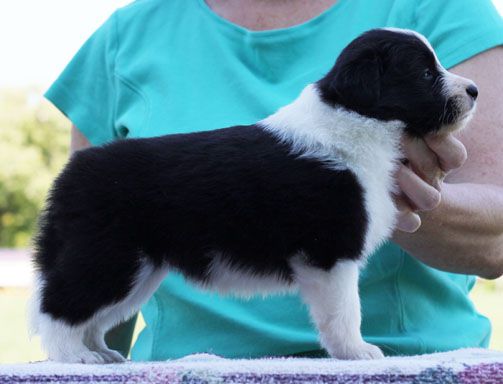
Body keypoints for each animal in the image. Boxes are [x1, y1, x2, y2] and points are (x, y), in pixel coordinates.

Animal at [29, 27, 478, 364]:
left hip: (136, 270)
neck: (352, 116)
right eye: (424, 74)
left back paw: (100, 353)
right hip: (109, 255)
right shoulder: (332, 253)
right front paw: (357, 352)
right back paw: (75, 357)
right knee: (59, 306)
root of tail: (71, 173)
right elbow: (346, 310)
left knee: (90, 316)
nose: (474, 90)